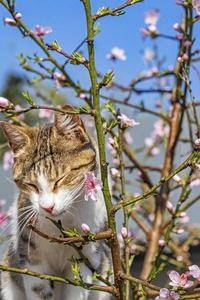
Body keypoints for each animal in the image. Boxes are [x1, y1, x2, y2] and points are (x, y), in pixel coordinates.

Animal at [0, 104, 111, 298]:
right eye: (31, 185)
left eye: (61, 179)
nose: (47, 207)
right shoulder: (32, 261)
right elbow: (38, 289)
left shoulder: (87, 259)